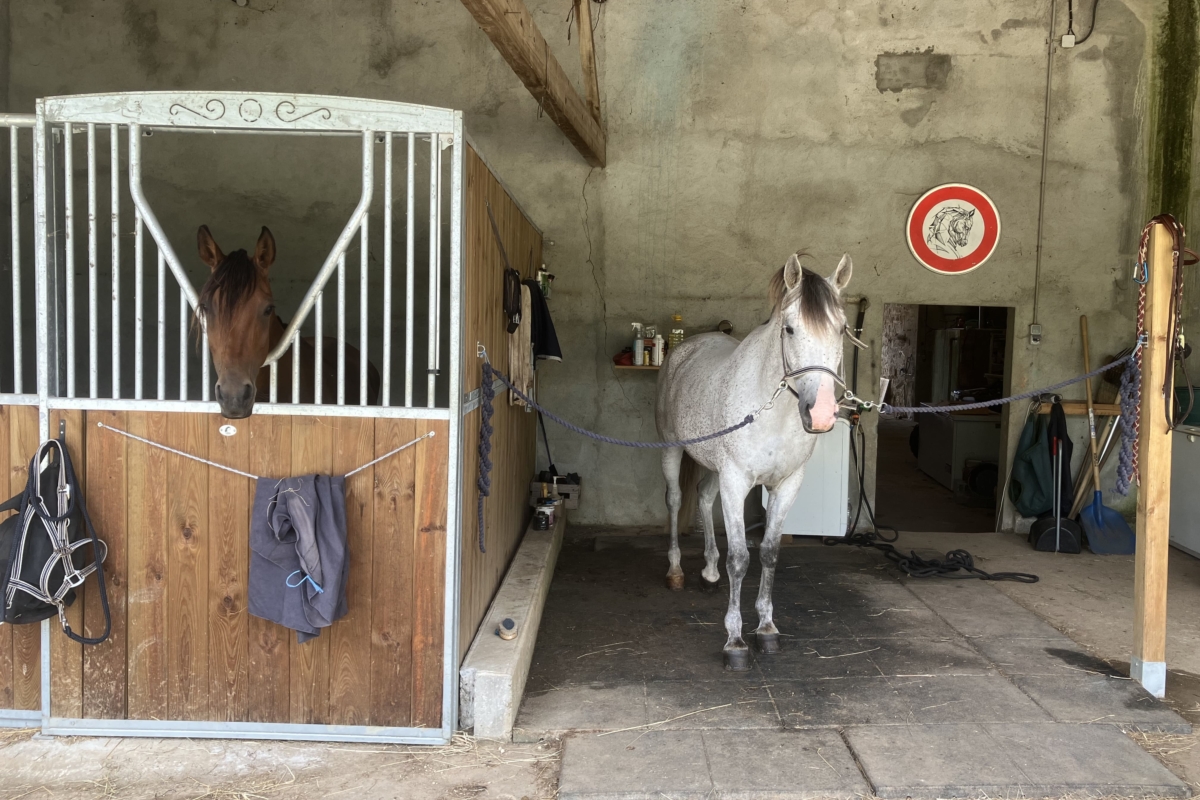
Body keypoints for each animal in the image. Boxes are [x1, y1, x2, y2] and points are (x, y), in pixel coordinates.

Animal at [656, 252, 852, 671]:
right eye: (790, 329)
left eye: (843, 329)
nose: (821, 413)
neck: (771, 412)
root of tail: (686, 347)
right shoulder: (737, 481)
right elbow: (741, 559)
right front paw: (734, 641)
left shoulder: (786, 484)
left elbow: (769, 553)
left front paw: (766, 629)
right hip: (671, 449)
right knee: (676, 500)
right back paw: (676, 571)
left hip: (713, 467)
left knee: (704, 496)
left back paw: (709, 572)